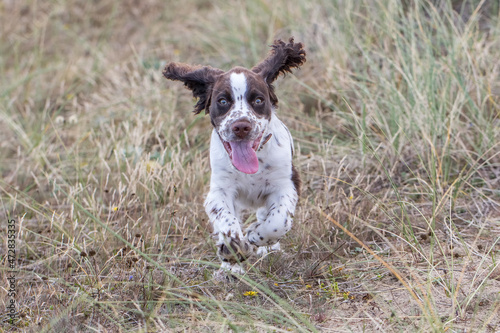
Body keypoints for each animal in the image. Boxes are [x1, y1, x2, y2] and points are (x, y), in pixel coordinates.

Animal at [164, 38, 304, 272]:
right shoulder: (219, 189)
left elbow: (278, 221)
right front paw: (232, 250)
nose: (241, 126)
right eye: (222, 101)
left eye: (258, 100)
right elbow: (225, 220)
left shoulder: (287, 184)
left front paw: (256, 235)